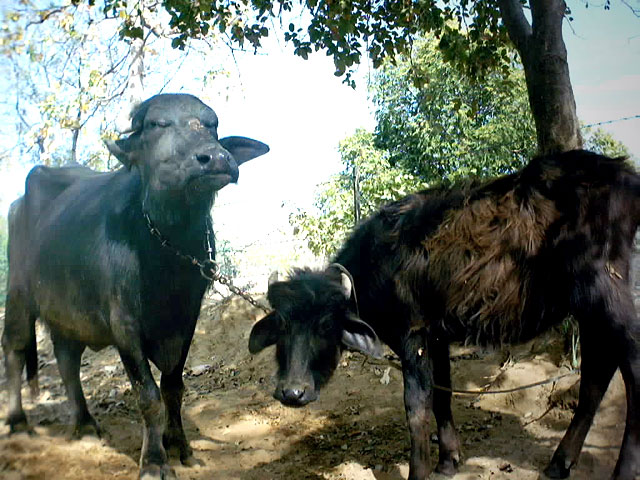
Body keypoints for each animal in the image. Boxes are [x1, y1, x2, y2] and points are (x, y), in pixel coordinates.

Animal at [2, 92, 268, 478]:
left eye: (212, 125)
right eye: (157, 124)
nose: (216, 158)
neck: (167, 250)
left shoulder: (186, 319)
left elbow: (173, 388)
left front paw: (179, 444)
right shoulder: (124, 325)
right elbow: (148, 396)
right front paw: (154, 460)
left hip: (68, 313)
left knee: (67, 361)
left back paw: (84, 423)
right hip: (18, 295)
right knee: (15, 350)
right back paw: (18, 421)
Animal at [250, 150, 640, 480]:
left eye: (326, 325)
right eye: (282, 326)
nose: (292, 392)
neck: (380, 262)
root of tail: (624, 174)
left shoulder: (413, 337)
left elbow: (416, 407)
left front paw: (418, 471)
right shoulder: (436, 337)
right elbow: (442, 396)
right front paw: (449, 459)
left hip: (607, 292)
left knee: (631, 366)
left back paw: (623, 470)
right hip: (589, 307)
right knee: (597, 373)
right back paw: (560, 462)